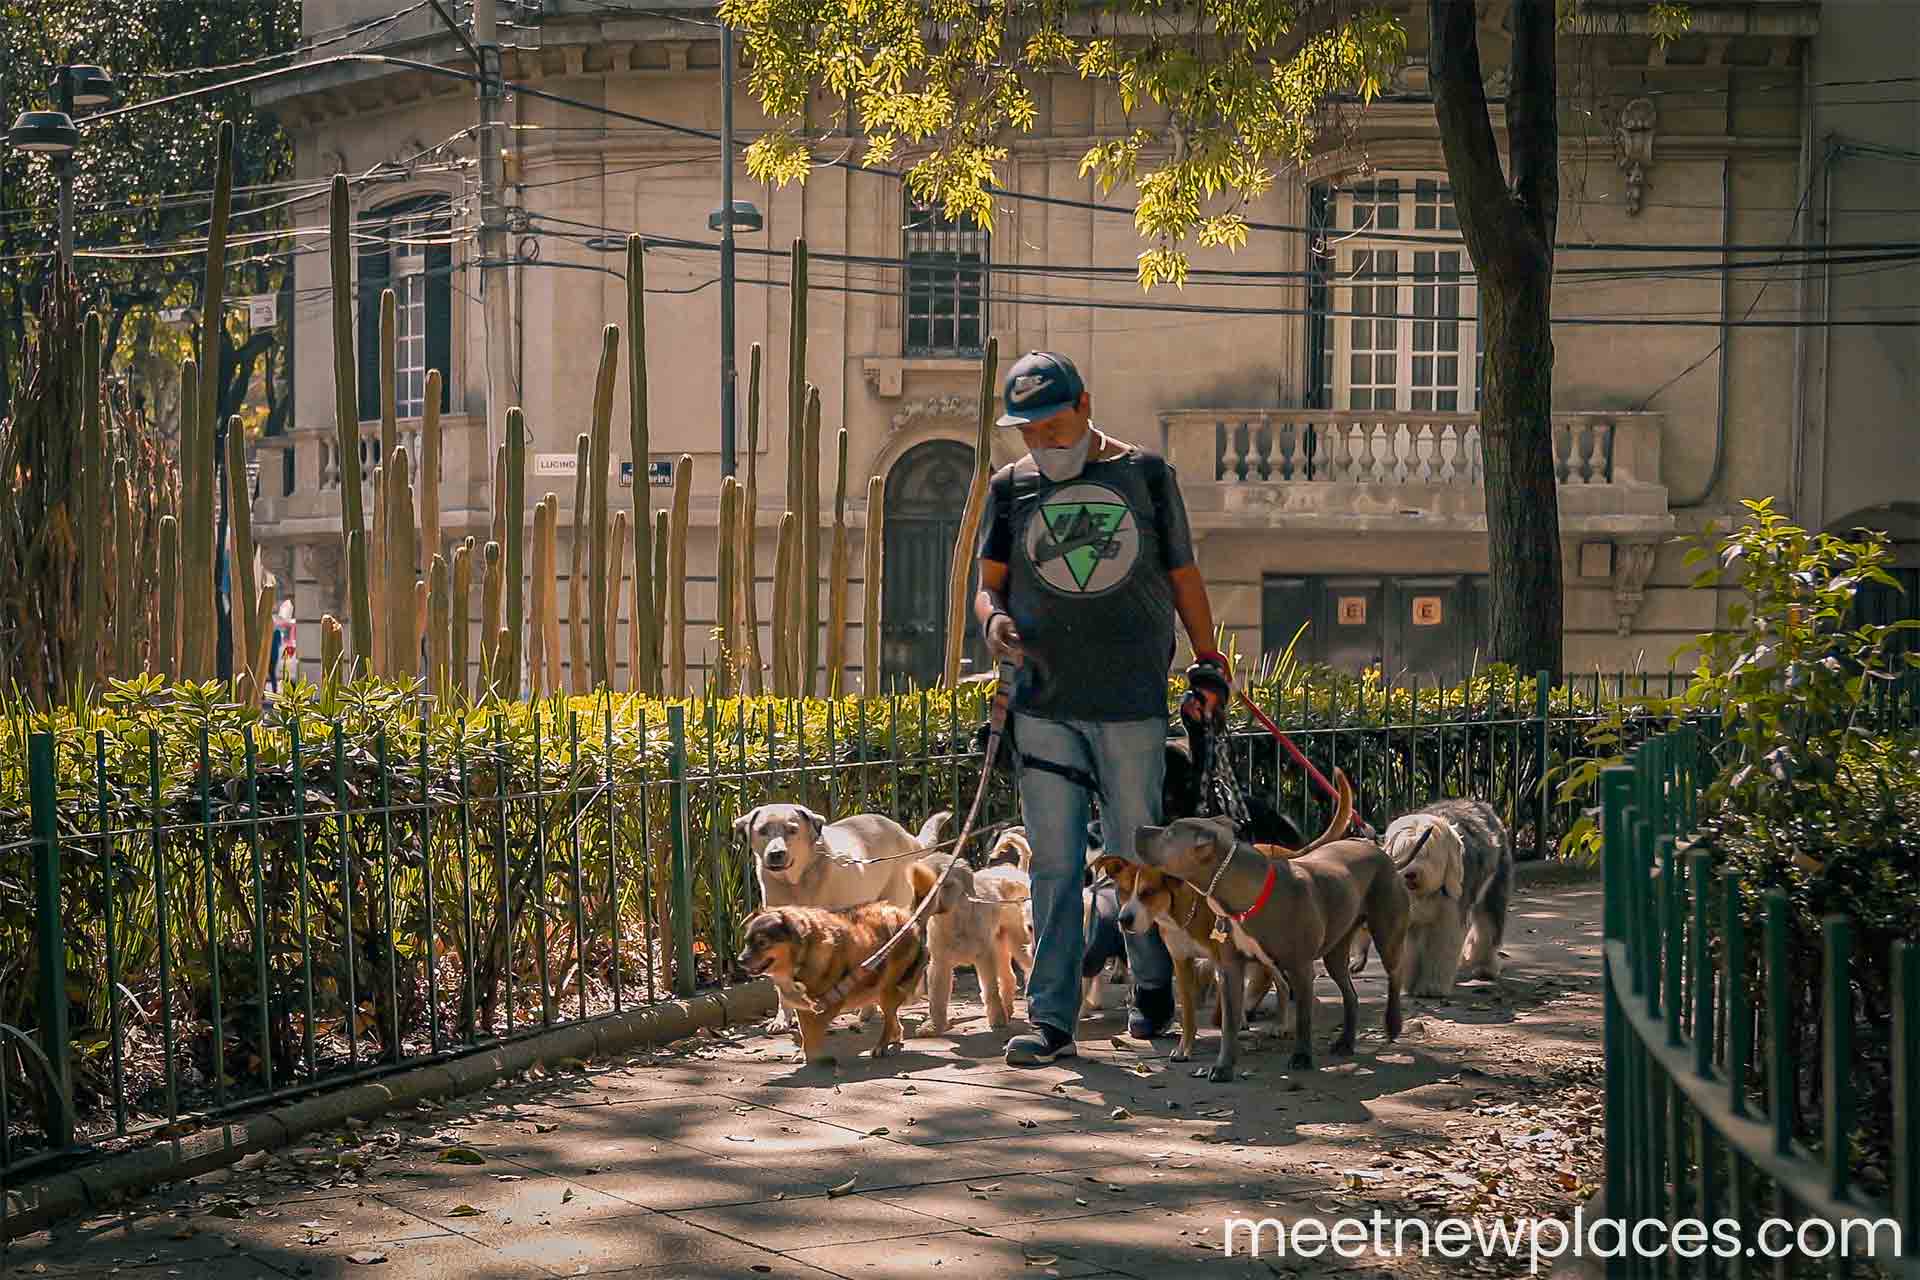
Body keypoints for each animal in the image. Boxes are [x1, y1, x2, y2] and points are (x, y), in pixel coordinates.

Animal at [733, 901, 929, 1074]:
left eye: (762, 942)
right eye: (746, 941)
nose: (740, 961)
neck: (800, 960)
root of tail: (908, 918)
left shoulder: (829, 1005)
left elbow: (813, 1034)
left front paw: (812, 1056)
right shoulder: (804, 1009)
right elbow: (805, 1032)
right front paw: (803, 1053)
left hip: (888, 988)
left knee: (889, 1018)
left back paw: (881, 1046)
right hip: (878, 988)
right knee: (893, 1017)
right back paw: (895, 1036)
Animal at [910, 855, 1036, 1036]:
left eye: (945, 884)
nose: (917, 913)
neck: (955, 920)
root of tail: (1017, 871)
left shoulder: (984, 957)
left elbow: (991, 989)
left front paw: (997, 1020)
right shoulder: (940, 963)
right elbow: (937, 997)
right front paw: (934, 1026)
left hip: (1019, 942)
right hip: (999, 944)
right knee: (1009, 977)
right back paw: (1007, 1009)